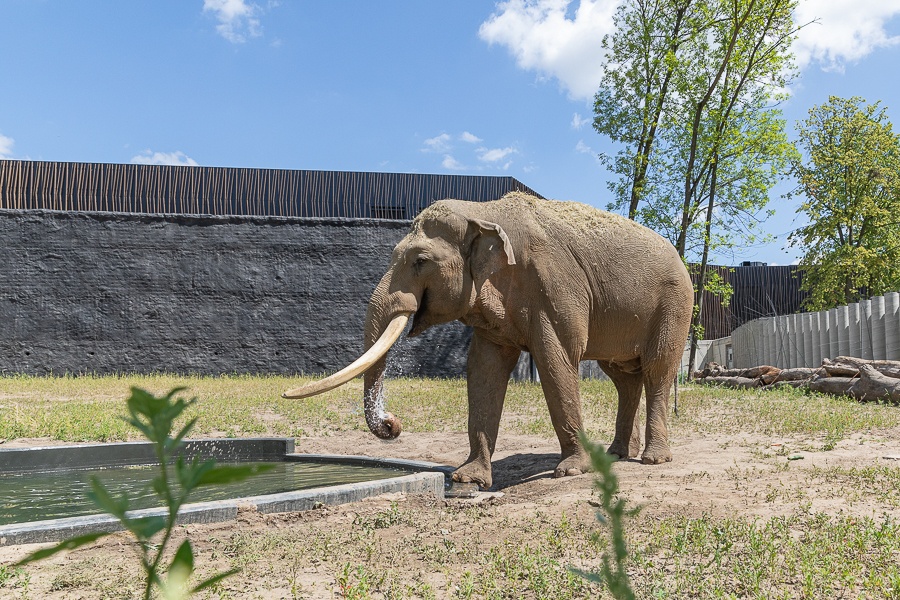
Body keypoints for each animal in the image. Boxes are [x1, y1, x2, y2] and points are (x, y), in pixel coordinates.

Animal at [284, 191, 692, 488]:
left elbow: (557, 360)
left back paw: (652, 458)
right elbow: (483, 368)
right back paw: (615, 455)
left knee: (657, 370)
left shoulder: (555, 287)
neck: (483, 212)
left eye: (419, 261)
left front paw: (572, 471)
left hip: (674, 304)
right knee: (624, 377)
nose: (392, 425)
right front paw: (469, 478)